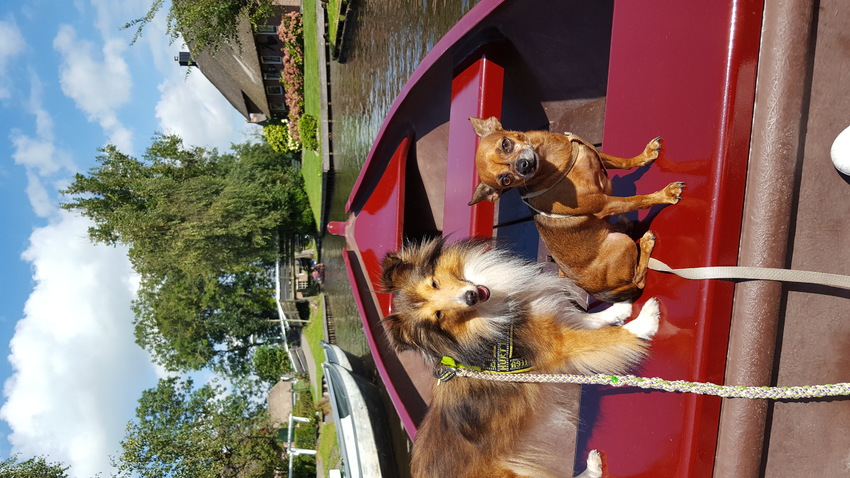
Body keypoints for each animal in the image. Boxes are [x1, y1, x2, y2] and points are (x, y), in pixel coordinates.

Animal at [381, 237, 660, 478]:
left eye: (434, 283)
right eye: (438, 315)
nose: (471, 296)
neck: (483, 318)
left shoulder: (549, 318)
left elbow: (590, 320)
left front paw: (619, 309)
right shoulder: (558, 344)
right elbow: (602, 337)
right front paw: (645, 321)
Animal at [468, 117, 685, 302]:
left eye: (505, 144)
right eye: (506, 180)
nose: (523, 165)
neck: (552, 162)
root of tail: (597, 292)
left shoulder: (597, 156)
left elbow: (623, 162)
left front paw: (645, 155)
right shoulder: (604, 204)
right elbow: (638, 200)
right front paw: (665, 194)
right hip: (621, 243)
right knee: (638, 281)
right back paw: (646, 243)